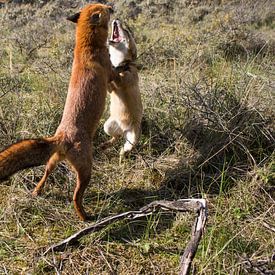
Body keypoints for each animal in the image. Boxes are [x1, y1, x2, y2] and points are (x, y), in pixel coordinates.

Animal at [0, 3, 113, 222]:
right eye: (104, 8)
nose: (112, 6)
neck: (86, 48)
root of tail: (61, 137)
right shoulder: (109, 71)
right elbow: (119, 70)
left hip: (54, 161)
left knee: (46, 172)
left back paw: (37, 191)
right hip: (86, 169)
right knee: (76, 196)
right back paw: (84, 217)